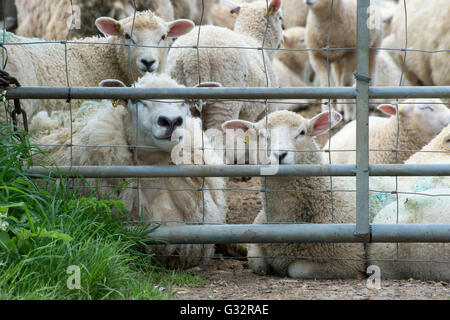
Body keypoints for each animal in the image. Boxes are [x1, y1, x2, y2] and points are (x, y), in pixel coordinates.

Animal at [167, 0, 284, 131]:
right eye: (280, 18)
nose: (283, 41)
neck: (255, 40)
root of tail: (192, 57)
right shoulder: (266, 108)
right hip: (225, 100)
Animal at [221, 110, 366, 278]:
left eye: (302, 132)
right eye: (261, 135)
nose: (280, 155)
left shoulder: (348, 260)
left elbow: (296, 269)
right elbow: (258, 263)